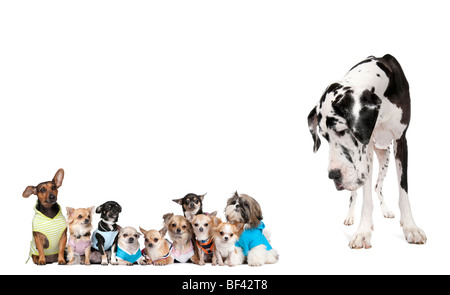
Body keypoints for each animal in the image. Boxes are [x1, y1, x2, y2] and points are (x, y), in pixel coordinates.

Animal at [308, 54, 428, 249]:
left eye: (342, 130)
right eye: (324, 137)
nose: (333, 175)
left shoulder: (401, 140)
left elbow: (403, 191)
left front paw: (411, 228)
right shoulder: (367, 149)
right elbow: (365, 198)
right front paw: (363, 231)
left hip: (385, 157)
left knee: (378, 186)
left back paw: (386, 210)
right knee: (355, 193)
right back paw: (350, 215)